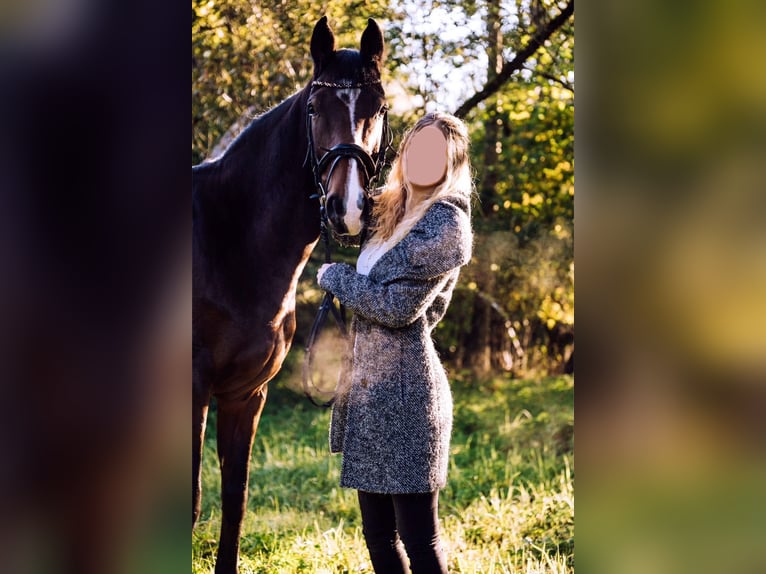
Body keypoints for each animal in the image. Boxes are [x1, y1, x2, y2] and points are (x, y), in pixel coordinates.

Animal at [192, 15, 390, 572]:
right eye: (315, 108)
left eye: (378, 108)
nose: (348, 208)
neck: (226, 243)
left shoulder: (246, 394)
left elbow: (234, 499)